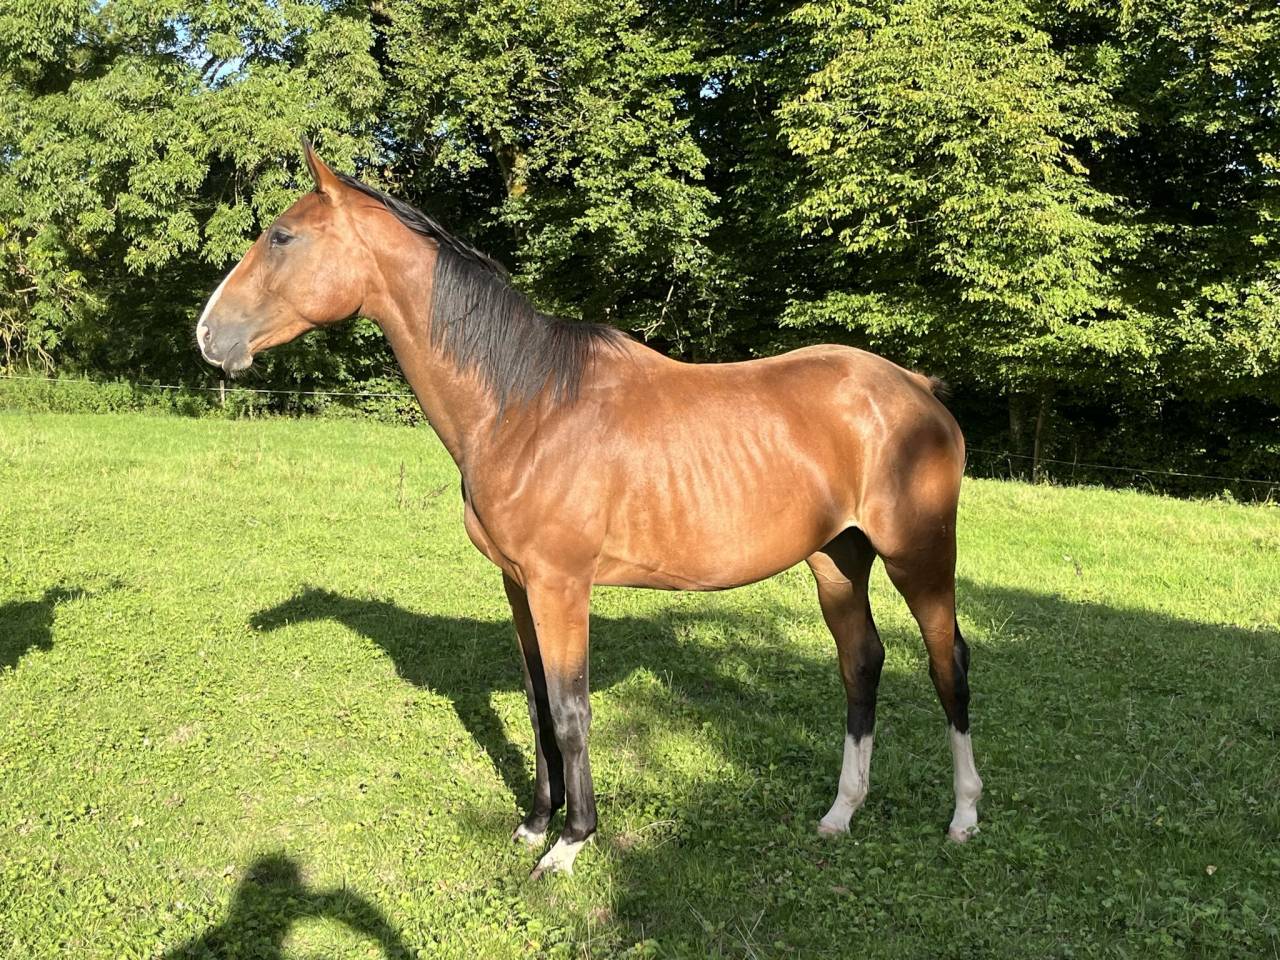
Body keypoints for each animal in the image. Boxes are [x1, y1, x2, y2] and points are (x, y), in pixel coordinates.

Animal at [195, 139, 983, 878]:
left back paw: (965, 817)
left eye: (283, 237)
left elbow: (571, 711)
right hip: (836, 559)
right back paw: (841, 813)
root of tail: (915, 388)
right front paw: (533, 824)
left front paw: (571, 842)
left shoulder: (562, 586)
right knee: (861, 663)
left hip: (918, 556)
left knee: (947, 662)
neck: (525, 404)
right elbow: (537, 703)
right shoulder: (519, 585)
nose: (208, 334)